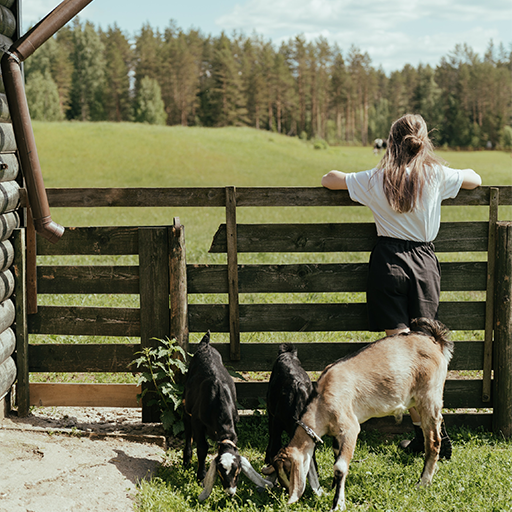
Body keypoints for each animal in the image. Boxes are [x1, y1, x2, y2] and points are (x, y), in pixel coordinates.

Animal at [183, 332, 272, 500]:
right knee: (187, 433)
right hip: (186, 406)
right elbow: (202, 447)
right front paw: (201, 476)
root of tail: (205, 345)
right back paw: (186, 461)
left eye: (237, 473)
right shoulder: (197, 421)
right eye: (220, 472)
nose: (230, 492)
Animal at [274, 318, 454, 510]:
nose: (285, 495)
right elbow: (336, 455)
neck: (322, 402)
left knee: (433, 441)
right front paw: (333, 489)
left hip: (429, 396)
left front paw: (338, 504)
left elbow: (340, 467)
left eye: (287, 471)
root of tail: (435, 341)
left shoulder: (350, 427)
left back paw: (423, 483)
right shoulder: (338, 433)